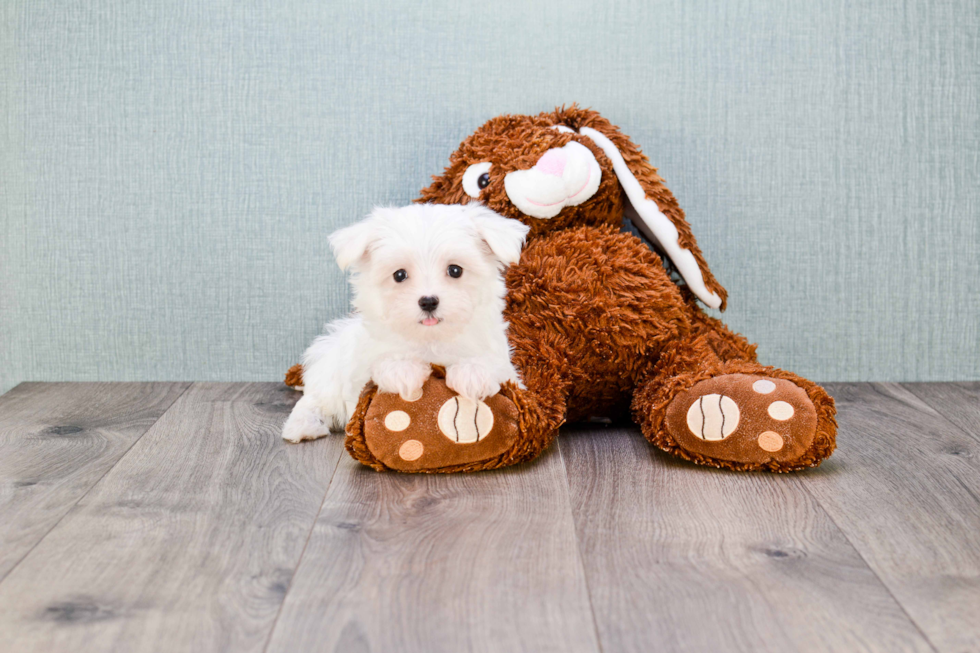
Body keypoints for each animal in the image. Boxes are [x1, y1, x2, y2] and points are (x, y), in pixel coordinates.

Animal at [282, 204, 528, 444]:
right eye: (399, 275)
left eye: (455, 270)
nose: (428, 301)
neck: (431, 339)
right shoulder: (364, 363)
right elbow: (382, 363)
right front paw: (403, 371)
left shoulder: (504, 364)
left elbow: (493, 364)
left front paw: (472, 374)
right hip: (331, 374)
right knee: (315, 399)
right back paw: (302, 426)